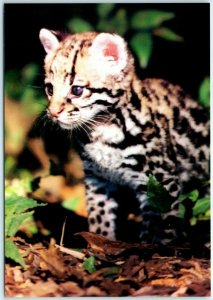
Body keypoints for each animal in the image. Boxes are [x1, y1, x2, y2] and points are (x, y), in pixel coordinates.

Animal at [38, 28, 210, 244]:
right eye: (49, 88)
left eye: (77, 90)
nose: (52, 113)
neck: (102, 129)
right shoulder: (98, 178)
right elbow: (99, 214)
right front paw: (99, 240)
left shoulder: (160, 181)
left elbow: (160, 225)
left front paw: (153, 246)